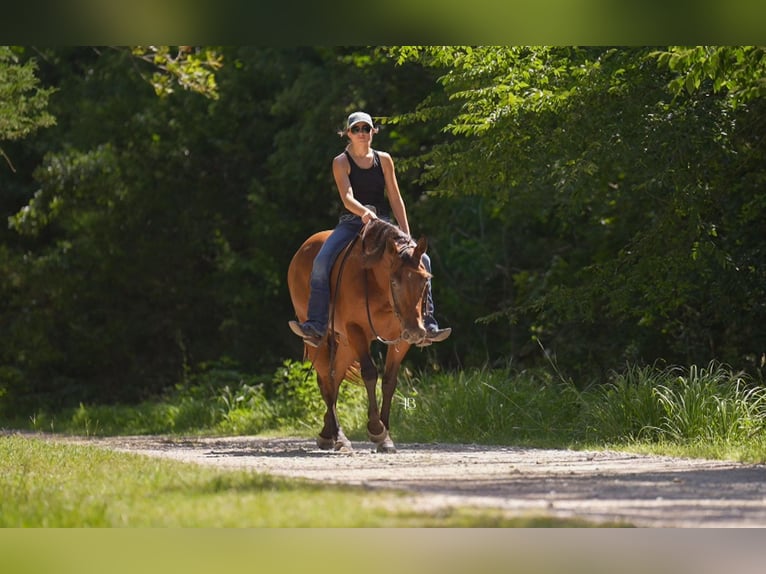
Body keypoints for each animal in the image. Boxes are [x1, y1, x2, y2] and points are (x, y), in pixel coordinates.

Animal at [287, 218, 431, 453]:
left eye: (426, 280)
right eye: (394, 281)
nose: (416, 331)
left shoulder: (400, 340)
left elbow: (389, 380)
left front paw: (386, 434)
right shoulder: (356, 330)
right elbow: (370, 374)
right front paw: (376, 430)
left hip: (345, 343)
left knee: (334, 377)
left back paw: (327, 433)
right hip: (323, 340)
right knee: (326, 379)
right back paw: (339, 437)